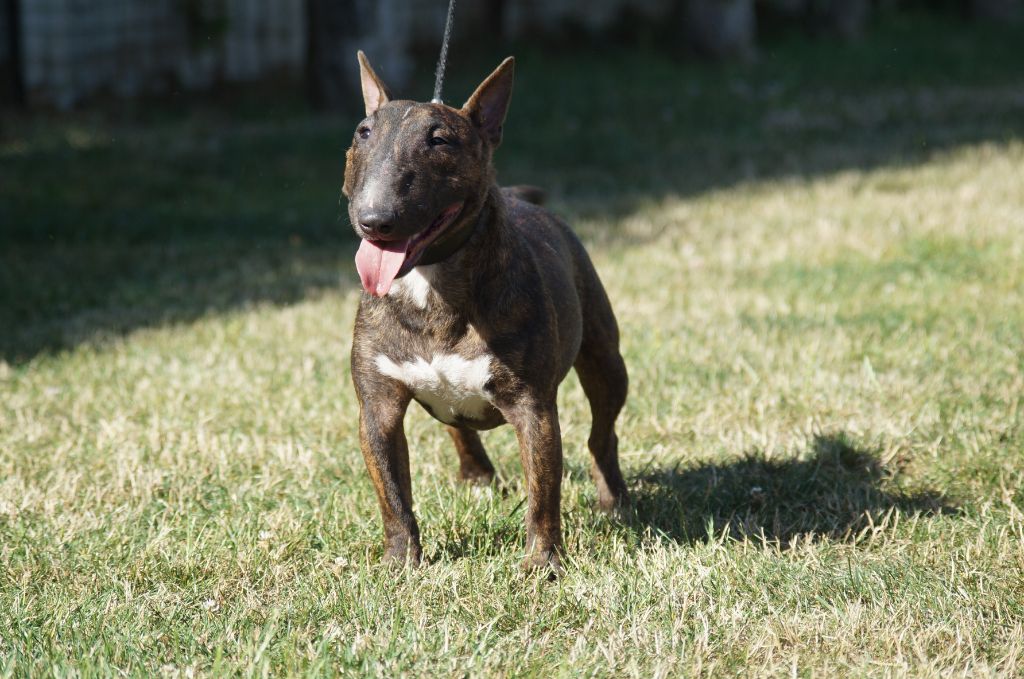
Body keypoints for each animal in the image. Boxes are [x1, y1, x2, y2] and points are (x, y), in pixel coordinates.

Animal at [344, 54, 626, 573]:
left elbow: (543, 492)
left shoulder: (533, 407)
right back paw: (477, 477)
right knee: (459, 430)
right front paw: (401, 561)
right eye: (363, 132)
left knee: (603, 432)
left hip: (605, 360)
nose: (374, 219)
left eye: (440, 140)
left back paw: (613, 501)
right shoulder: (377, 407)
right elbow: (392, 492)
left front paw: (542, 563)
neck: (431, 285)